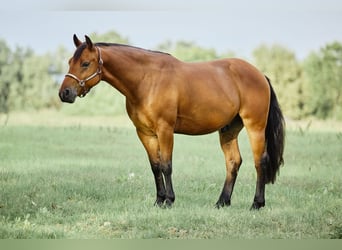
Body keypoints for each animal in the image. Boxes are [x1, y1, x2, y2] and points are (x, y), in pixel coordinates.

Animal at [59, 34, 286, 209]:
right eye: (70, 61)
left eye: (85, 63)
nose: (64, 93)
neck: (146, 80)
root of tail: (260, 75)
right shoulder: (145, 133)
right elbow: (155, 166)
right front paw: (158, 201)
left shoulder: (165, 130)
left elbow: (167, 165)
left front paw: (169, 200)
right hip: (228, 130)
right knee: (233, 162)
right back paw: (222, 202)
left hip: (255, 126)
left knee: (260, 161)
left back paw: (257, 204)